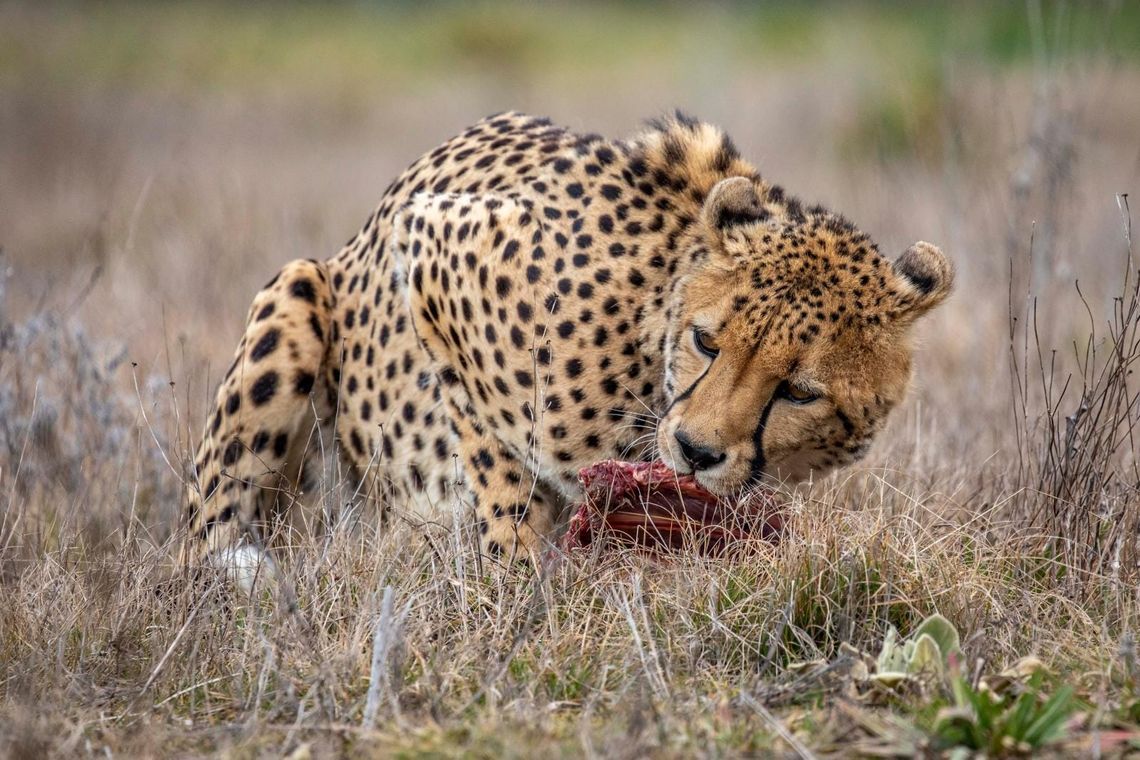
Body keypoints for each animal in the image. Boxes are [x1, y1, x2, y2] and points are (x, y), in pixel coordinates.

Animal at [179, 111, 953, 577]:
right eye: (707, 341)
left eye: (798, 391)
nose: (696, 452)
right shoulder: (433, 252)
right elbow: (500, 467)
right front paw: (514, 582)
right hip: (296, 292)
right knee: (200, 540)